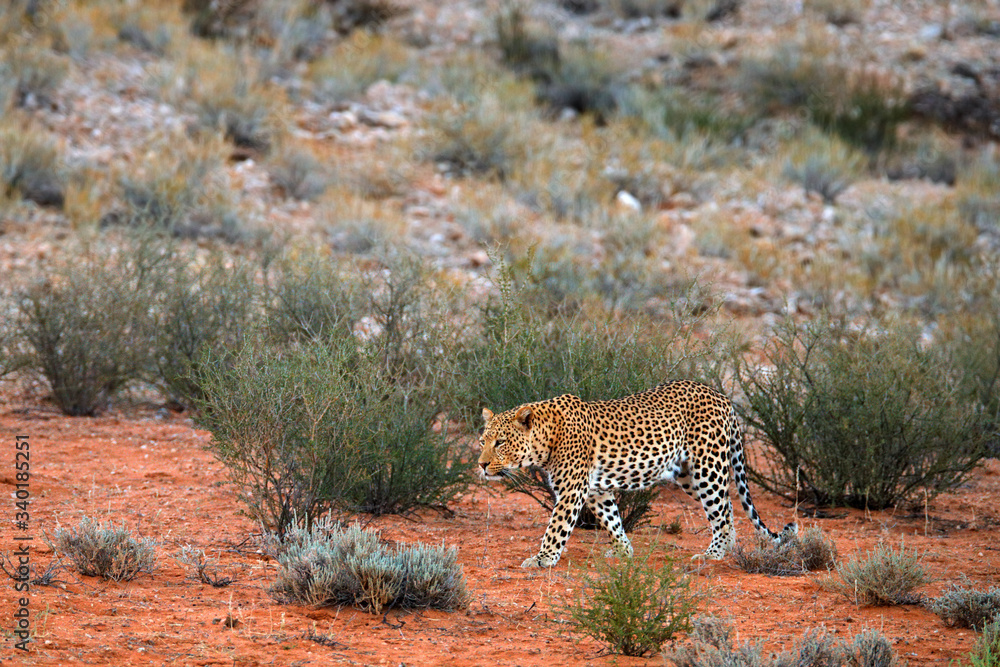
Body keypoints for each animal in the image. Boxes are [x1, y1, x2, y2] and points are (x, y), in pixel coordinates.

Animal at [478, 380, 797, 568]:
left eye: (501, 442)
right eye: (482, 442)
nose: (481, 465)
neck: (545, 438)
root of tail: (721, 395)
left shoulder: (572, 491)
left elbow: (556, 528)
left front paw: (542, 559)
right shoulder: (596, 490)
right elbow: (612, 521)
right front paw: (623, 551)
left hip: (707, 467)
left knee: (721, 509)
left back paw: (714, 553)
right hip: (688, 474)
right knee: (727, 506)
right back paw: (727, 546)